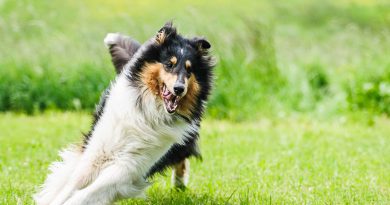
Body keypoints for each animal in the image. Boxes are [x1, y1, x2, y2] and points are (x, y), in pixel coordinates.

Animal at [34, 21, 215, 204]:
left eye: (189, 70)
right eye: (169, 64)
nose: (179, 89)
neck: (149, 113)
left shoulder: (131, 166)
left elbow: (91, 190)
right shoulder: (99, 151)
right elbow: (75, 182)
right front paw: (54, 199)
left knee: (182, 158)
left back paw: (179, 184)